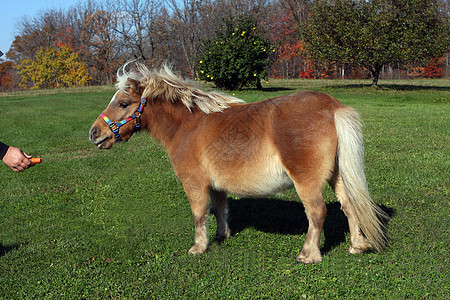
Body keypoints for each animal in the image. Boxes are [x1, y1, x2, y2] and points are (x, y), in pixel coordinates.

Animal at [89, 62, 386, 264]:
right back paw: (357, 245)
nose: (94, 133)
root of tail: (333, 107)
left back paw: (308, 254)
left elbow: (199, 214)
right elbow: (220, 209)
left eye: (123, 103)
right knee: (349, 207)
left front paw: (198, 247)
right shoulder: (217, 184)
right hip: (337, 175)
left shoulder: (194, 182)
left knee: (317, 212)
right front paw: (222, 236)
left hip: (307, 181)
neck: (187, 125)